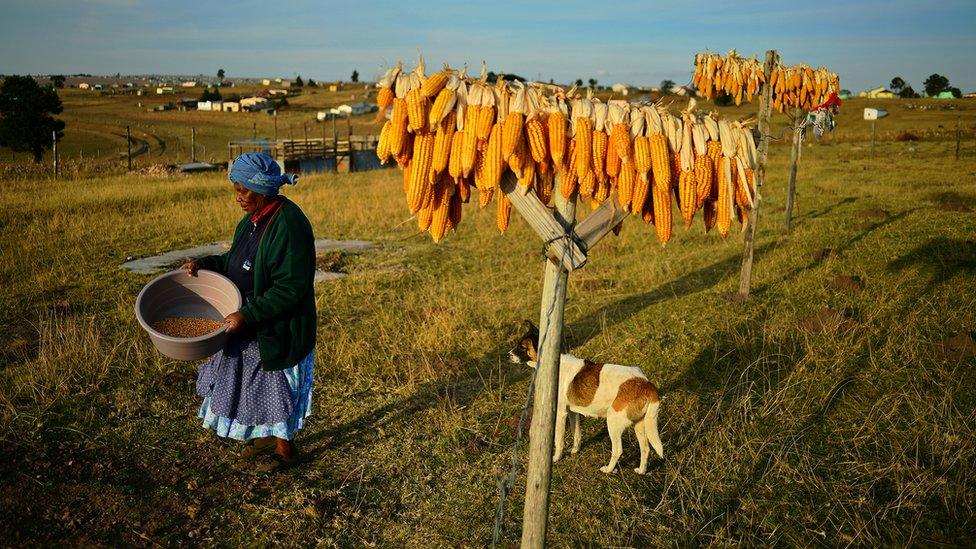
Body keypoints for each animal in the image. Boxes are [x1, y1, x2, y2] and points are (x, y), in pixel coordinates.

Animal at [510, 318, 664, 474]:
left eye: (522, 347)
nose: (507, 355)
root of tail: (646, 384)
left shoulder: (560, 414)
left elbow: (559, 440)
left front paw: (556, 458)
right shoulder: (572, 412)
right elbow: (576, 433)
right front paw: (575, 450)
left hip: (613, 422)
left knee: (618, 450)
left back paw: (608, 469)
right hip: (640, 424)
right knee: (645, 448)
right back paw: (642, 471)